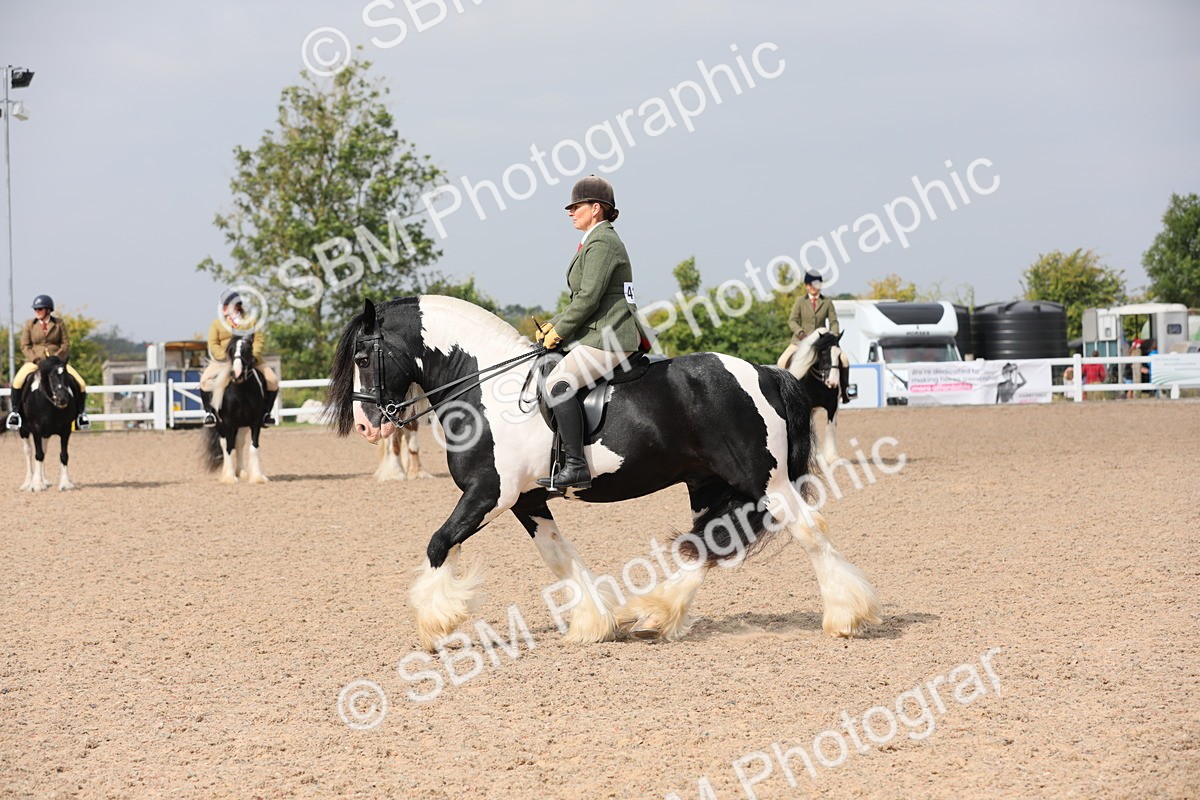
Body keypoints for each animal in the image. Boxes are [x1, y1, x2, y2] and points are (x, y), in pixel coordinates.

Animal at [14, 356, 83, 492]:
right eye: (51, 376)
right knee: (28, 451)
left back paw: (44, 480)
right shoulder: (36, 429)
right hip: (24, 430)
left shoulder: (66, 429)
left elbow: (63, 455)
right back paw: (28, 482)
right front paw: (37, 484)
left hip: (46, 433)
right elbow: (38, 454)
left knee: (44, 450)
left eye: (67, 376)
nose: (63, 399)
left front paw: (65, 483)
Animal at [201, 332, 269, 484]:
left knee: (239, 443)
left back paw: (241, 472)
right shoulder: (227, 422)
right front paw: (229, 478)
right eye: (231, 350)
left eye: (248, 350)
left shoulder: (255, 422)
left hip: (241, 425)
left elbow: (253, 447)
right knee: (224, 443)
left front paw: (257, 477)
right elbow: (228, 448)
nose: (237, 374)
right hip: (220, 425)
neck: (241, 390)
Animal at [779, 328, 851, 466]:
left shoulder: (832, 406)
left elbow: (830, 428)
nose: (833, 382)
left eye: (839, 355)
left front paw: (832, 457)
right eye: (823, 353)